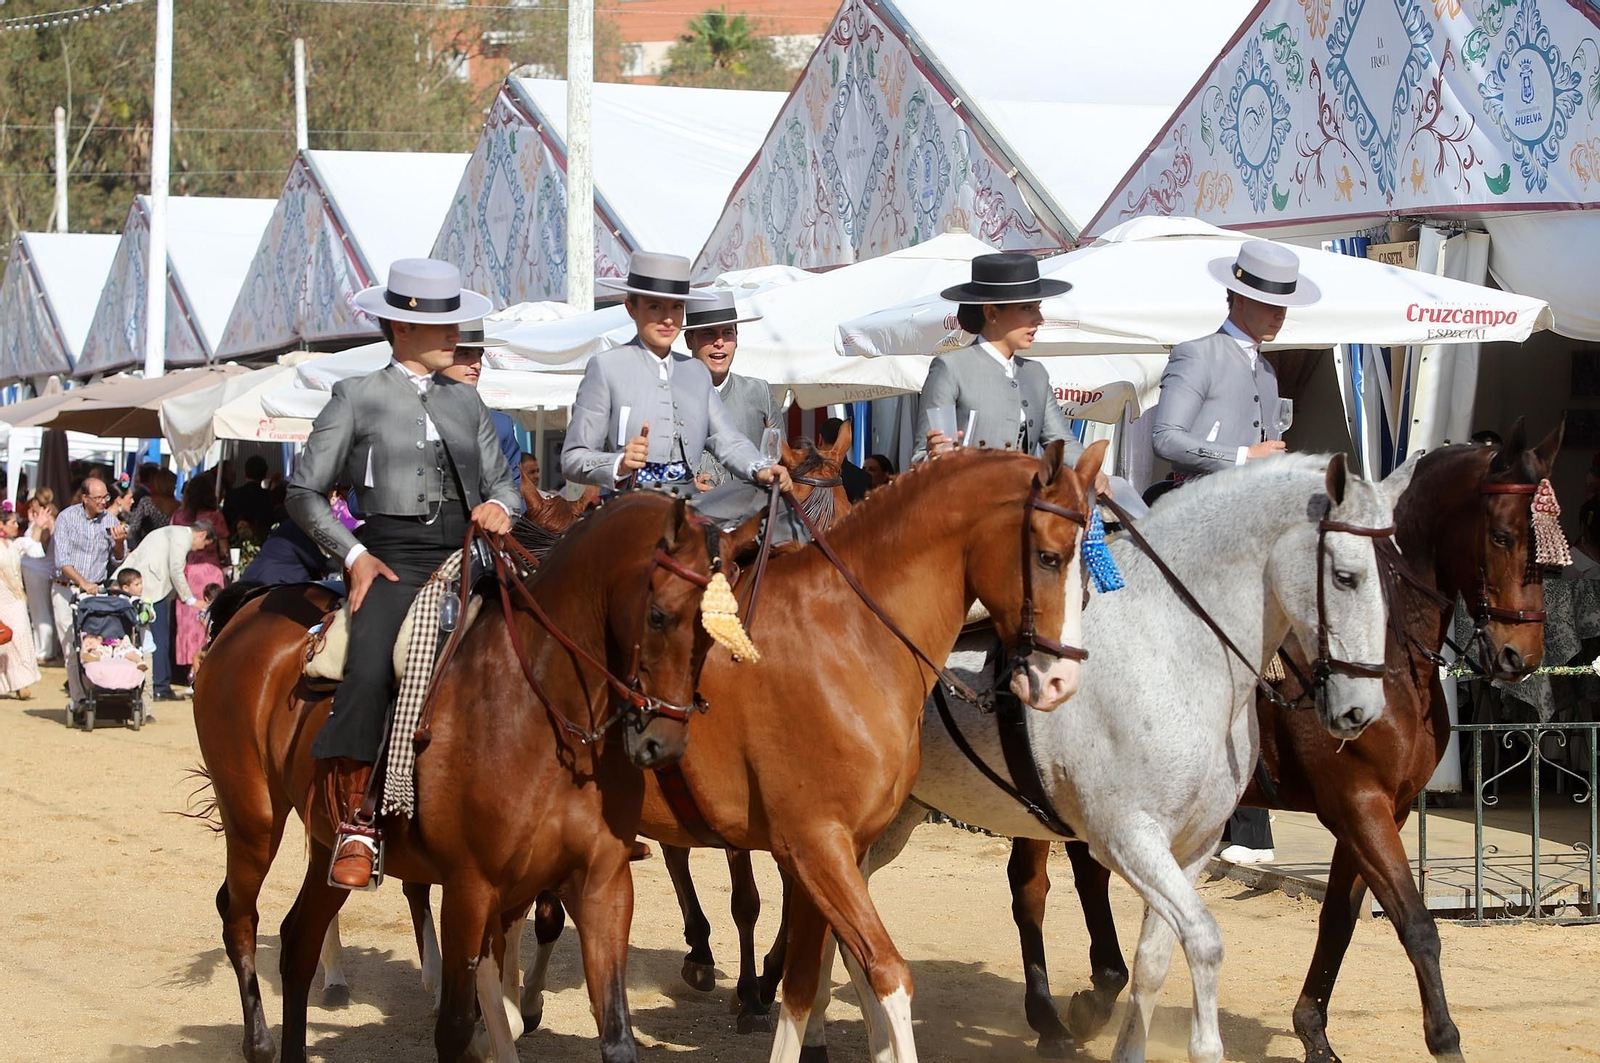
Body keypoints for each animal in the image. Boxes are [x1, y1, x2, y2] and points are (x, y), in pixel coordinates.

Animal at [193, 492, 729, 1063]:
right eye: (659, 616)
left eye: (715, 631)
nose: (663, 743)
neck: (540, 704)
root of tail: (251, 610)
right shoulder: (470, 889)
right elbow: (456, 1025)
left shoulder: (602, 880)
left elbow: (615, 1033)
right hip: (252, 819)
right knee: (238, 915)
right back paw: (259, 1042)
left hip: (325, 846)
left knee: (298, 943)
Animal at [801, 452, 1406, 1063]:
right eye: (1347, 576)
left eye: (1393, 581)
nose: (1361, 709)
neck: (1171, 647)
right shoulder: (1126, 838)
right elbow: (1203, 940)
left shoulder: (1193, 846)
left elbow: (1154, 960)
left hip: (892, 821)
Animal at [1019, 424, 1561, 1063]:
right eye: (1502, 534)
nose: (1520, 656)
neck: (1390, 658)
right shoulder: (1360, 804)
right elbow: (1417, 924)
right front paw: (1444, 1039)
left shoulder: (1385, 811)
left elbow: (1339, 921)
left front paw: (1314, 1033)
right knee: (1034, 888)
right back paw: (1057, 1015)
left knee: (1086, 873)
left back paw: (1097, 993)